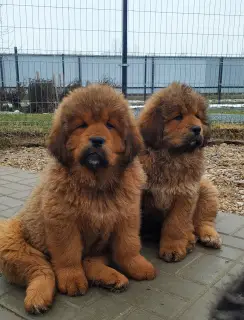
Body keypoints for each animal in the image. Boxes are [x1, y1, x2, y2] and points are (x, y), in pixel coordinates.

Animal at [0, 84, 156, 314]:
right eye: (82, 125)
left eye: (110, 125)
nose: (97, 140)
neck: (96, 185)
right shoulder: (63, 223)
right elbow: (68, 254)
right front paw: (72, 279)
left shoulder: (127, 216)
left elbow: (128, 246)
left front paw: (137, 265)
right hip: (11, 240)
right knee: (43, 269)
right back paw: (38, 298)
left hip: (100, 244)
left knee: (90, 261)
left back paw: (110, 278)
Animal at [138, 82, 222, 262]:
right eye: (178, 117)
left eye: (197, 116)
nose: (198, 129)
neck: (173, 156)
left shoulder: (185, 194)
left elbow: (176, 224)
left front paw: (173, 249)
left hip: (206, 190)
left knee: (203, 221)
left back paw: (207, 237)